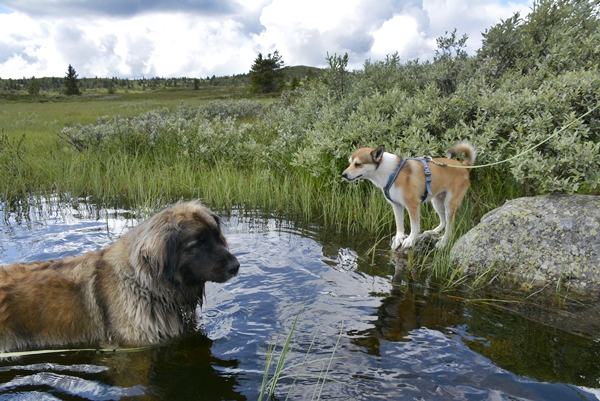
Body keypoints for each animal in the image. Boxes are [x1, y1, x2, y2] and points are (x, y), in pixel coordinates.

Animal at [342, 142, 478, 250]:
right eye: (350, 163)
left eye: (358, 164)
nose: (344, 175)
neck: (391, 173)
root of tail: (464, 166)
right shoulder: (396, 205)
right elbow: (399, 225)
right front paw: (399, 239)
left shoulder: (413, 205)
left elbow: (414, 227)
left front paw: (410, 240)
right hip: (437, 202)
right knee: (443, 221)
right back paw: (434, 231)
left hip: (449, 205)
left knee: (450, 226)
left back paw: (443, 242)